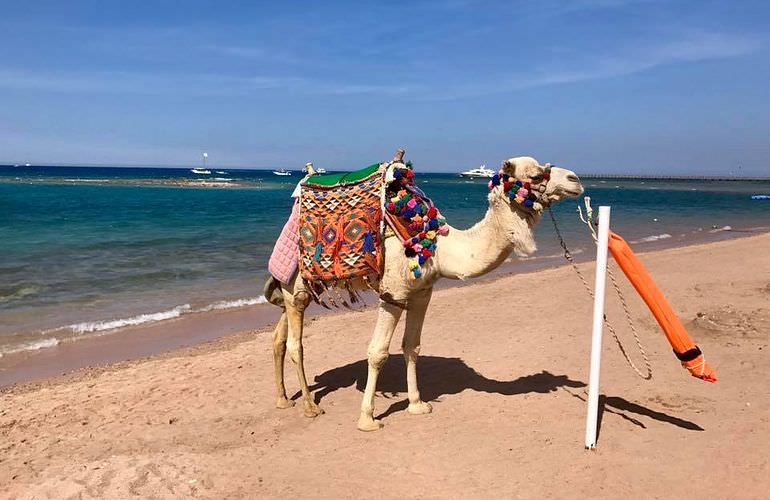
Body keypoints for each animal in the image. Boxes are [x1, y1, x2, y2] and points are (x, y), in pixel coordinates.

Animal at [268, 155, 580, 430]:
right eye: (536, 175)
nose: (576, 180)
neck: (439, 248)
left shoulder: (422, 293)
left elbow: (412, 347)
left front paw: (417, 404)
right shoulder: (392, 295)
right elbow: (378, 352)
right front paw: (368, 419)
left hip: (297, 288)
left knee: (278, 338)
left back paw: (283, 400)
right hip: (295, 288)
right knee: (296, 344)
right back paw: (309, 406)